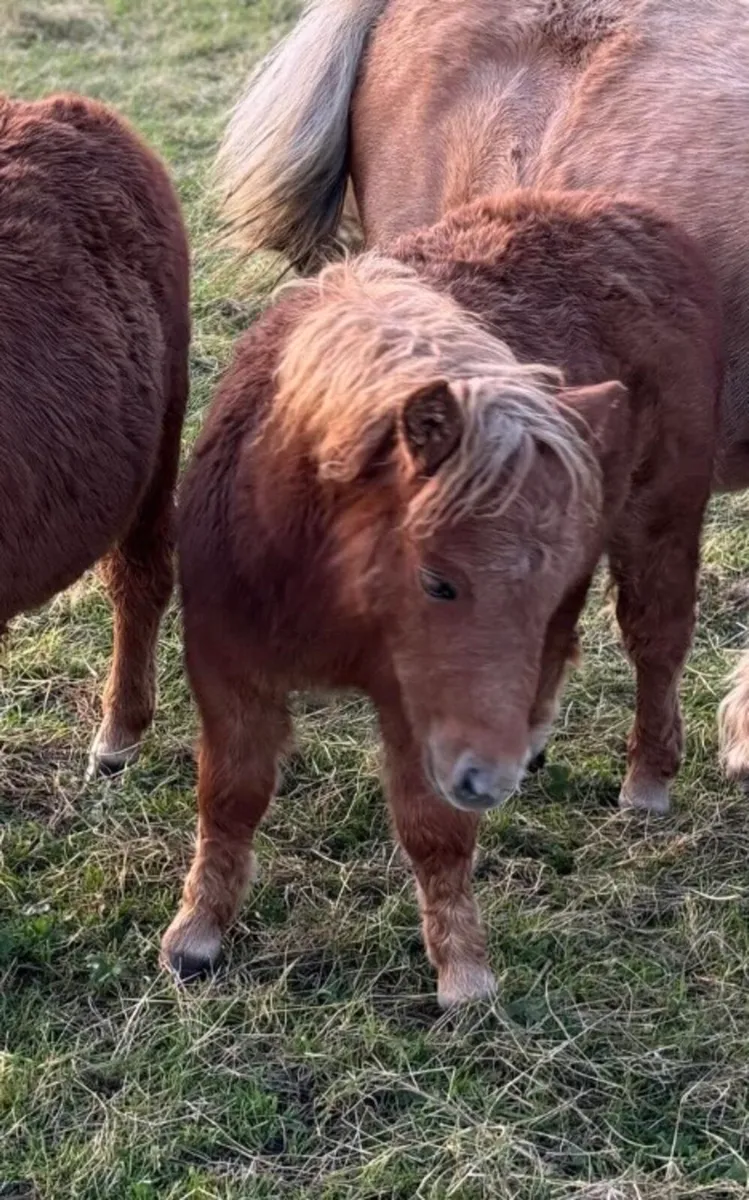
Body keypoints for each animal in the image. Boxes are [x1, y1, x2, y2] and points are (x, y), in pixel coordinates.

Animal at [162, 190, 722, 1005]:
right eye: (438, 581)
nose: (488, 779)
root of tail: (633, 216)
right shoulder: (227, 670)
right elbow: (229, 796)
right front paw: (196, 934)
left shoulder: (420, 709)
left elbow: (433, 830)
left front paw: (463, 970)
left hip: (659, 524)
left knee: (656, 644)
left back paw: (644, 781)